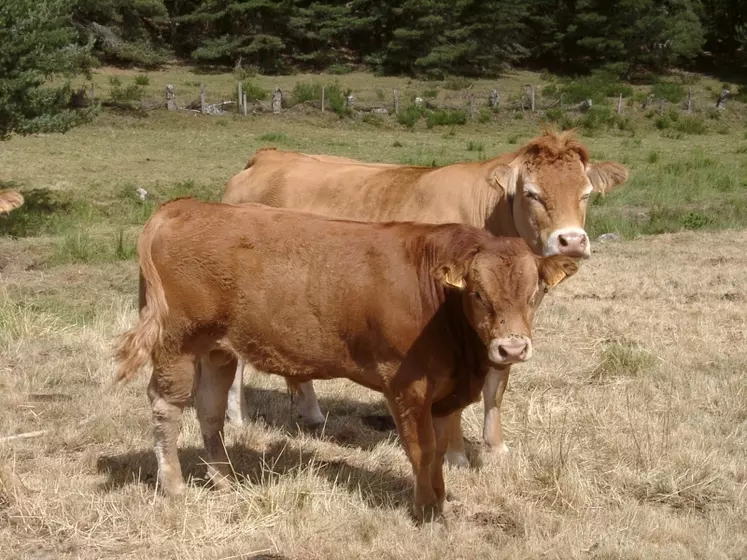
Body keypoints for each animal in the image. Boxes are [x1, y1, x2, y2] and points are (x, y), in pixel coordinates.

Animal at [115, 198, 580, 520]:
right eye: (479, 294)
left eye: (535, 292)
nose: (512, 349)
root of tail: (182, 207)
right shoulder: (407, 385)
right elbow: (422, 449)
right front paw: (425, 511)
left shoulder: (444, 390)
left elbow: (442, 447)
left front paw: (441, 501)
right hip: (176, 344)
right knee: (167, 407)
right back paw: (174, 487)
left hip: (217, 350)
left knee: (210, 410)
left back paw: (225, 480)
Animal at [218, 129, 632, 466]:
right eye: (532, 193)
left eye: (586, 194)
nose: (572, 241)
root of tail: (269, 156)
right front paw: (455, 454)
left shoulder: (511, 321)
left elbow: (497, 384)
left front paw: (496, 448)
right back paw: (238, 419)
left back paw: (310, 412)